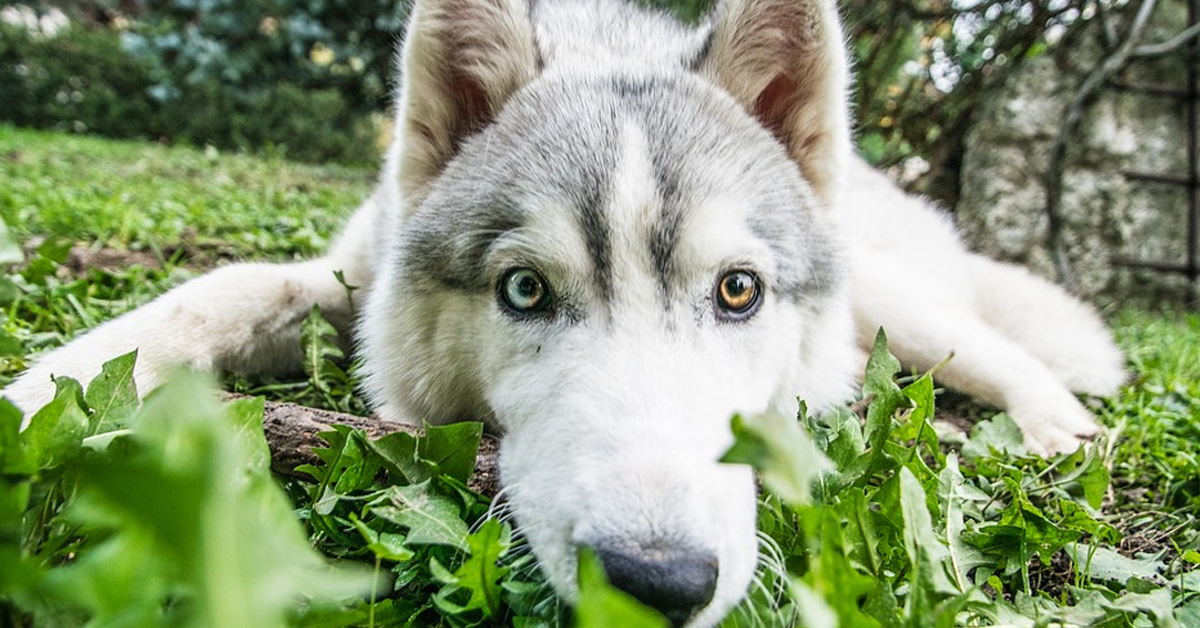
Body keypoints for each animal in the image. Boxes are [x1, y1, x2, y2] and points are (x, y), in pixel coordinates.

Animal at [4, 0, 1123, 624]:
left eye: (738, 291)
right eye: (525, 290)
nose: (655, 582)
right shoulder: (345, 278)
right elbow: (216, 291)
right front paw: (37, 396)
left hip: (894, 303)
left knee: (998, 349)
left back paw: (1056, 428)